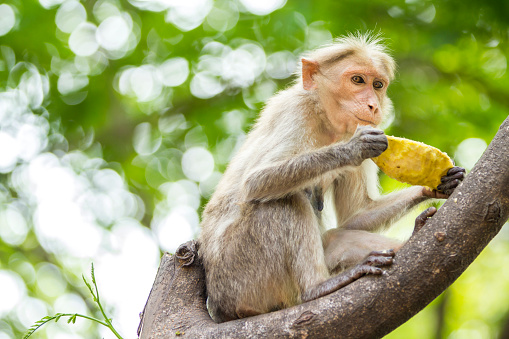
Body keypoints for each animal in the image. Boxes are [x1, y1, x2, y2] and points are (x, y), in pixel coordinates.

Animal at [197, 33, 464, 324]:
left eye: (377, 84)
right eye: (357, 80)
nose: (373, 105)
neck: (326, 120)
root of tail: (220, 308)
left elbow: (357, 214)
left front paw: (437, 186)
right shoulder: (297, 110)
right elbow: (256, 181)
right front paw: (353, 149)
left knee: (336, 236)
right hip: (241, 276)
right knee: (281, 201)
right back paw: (317, 287)